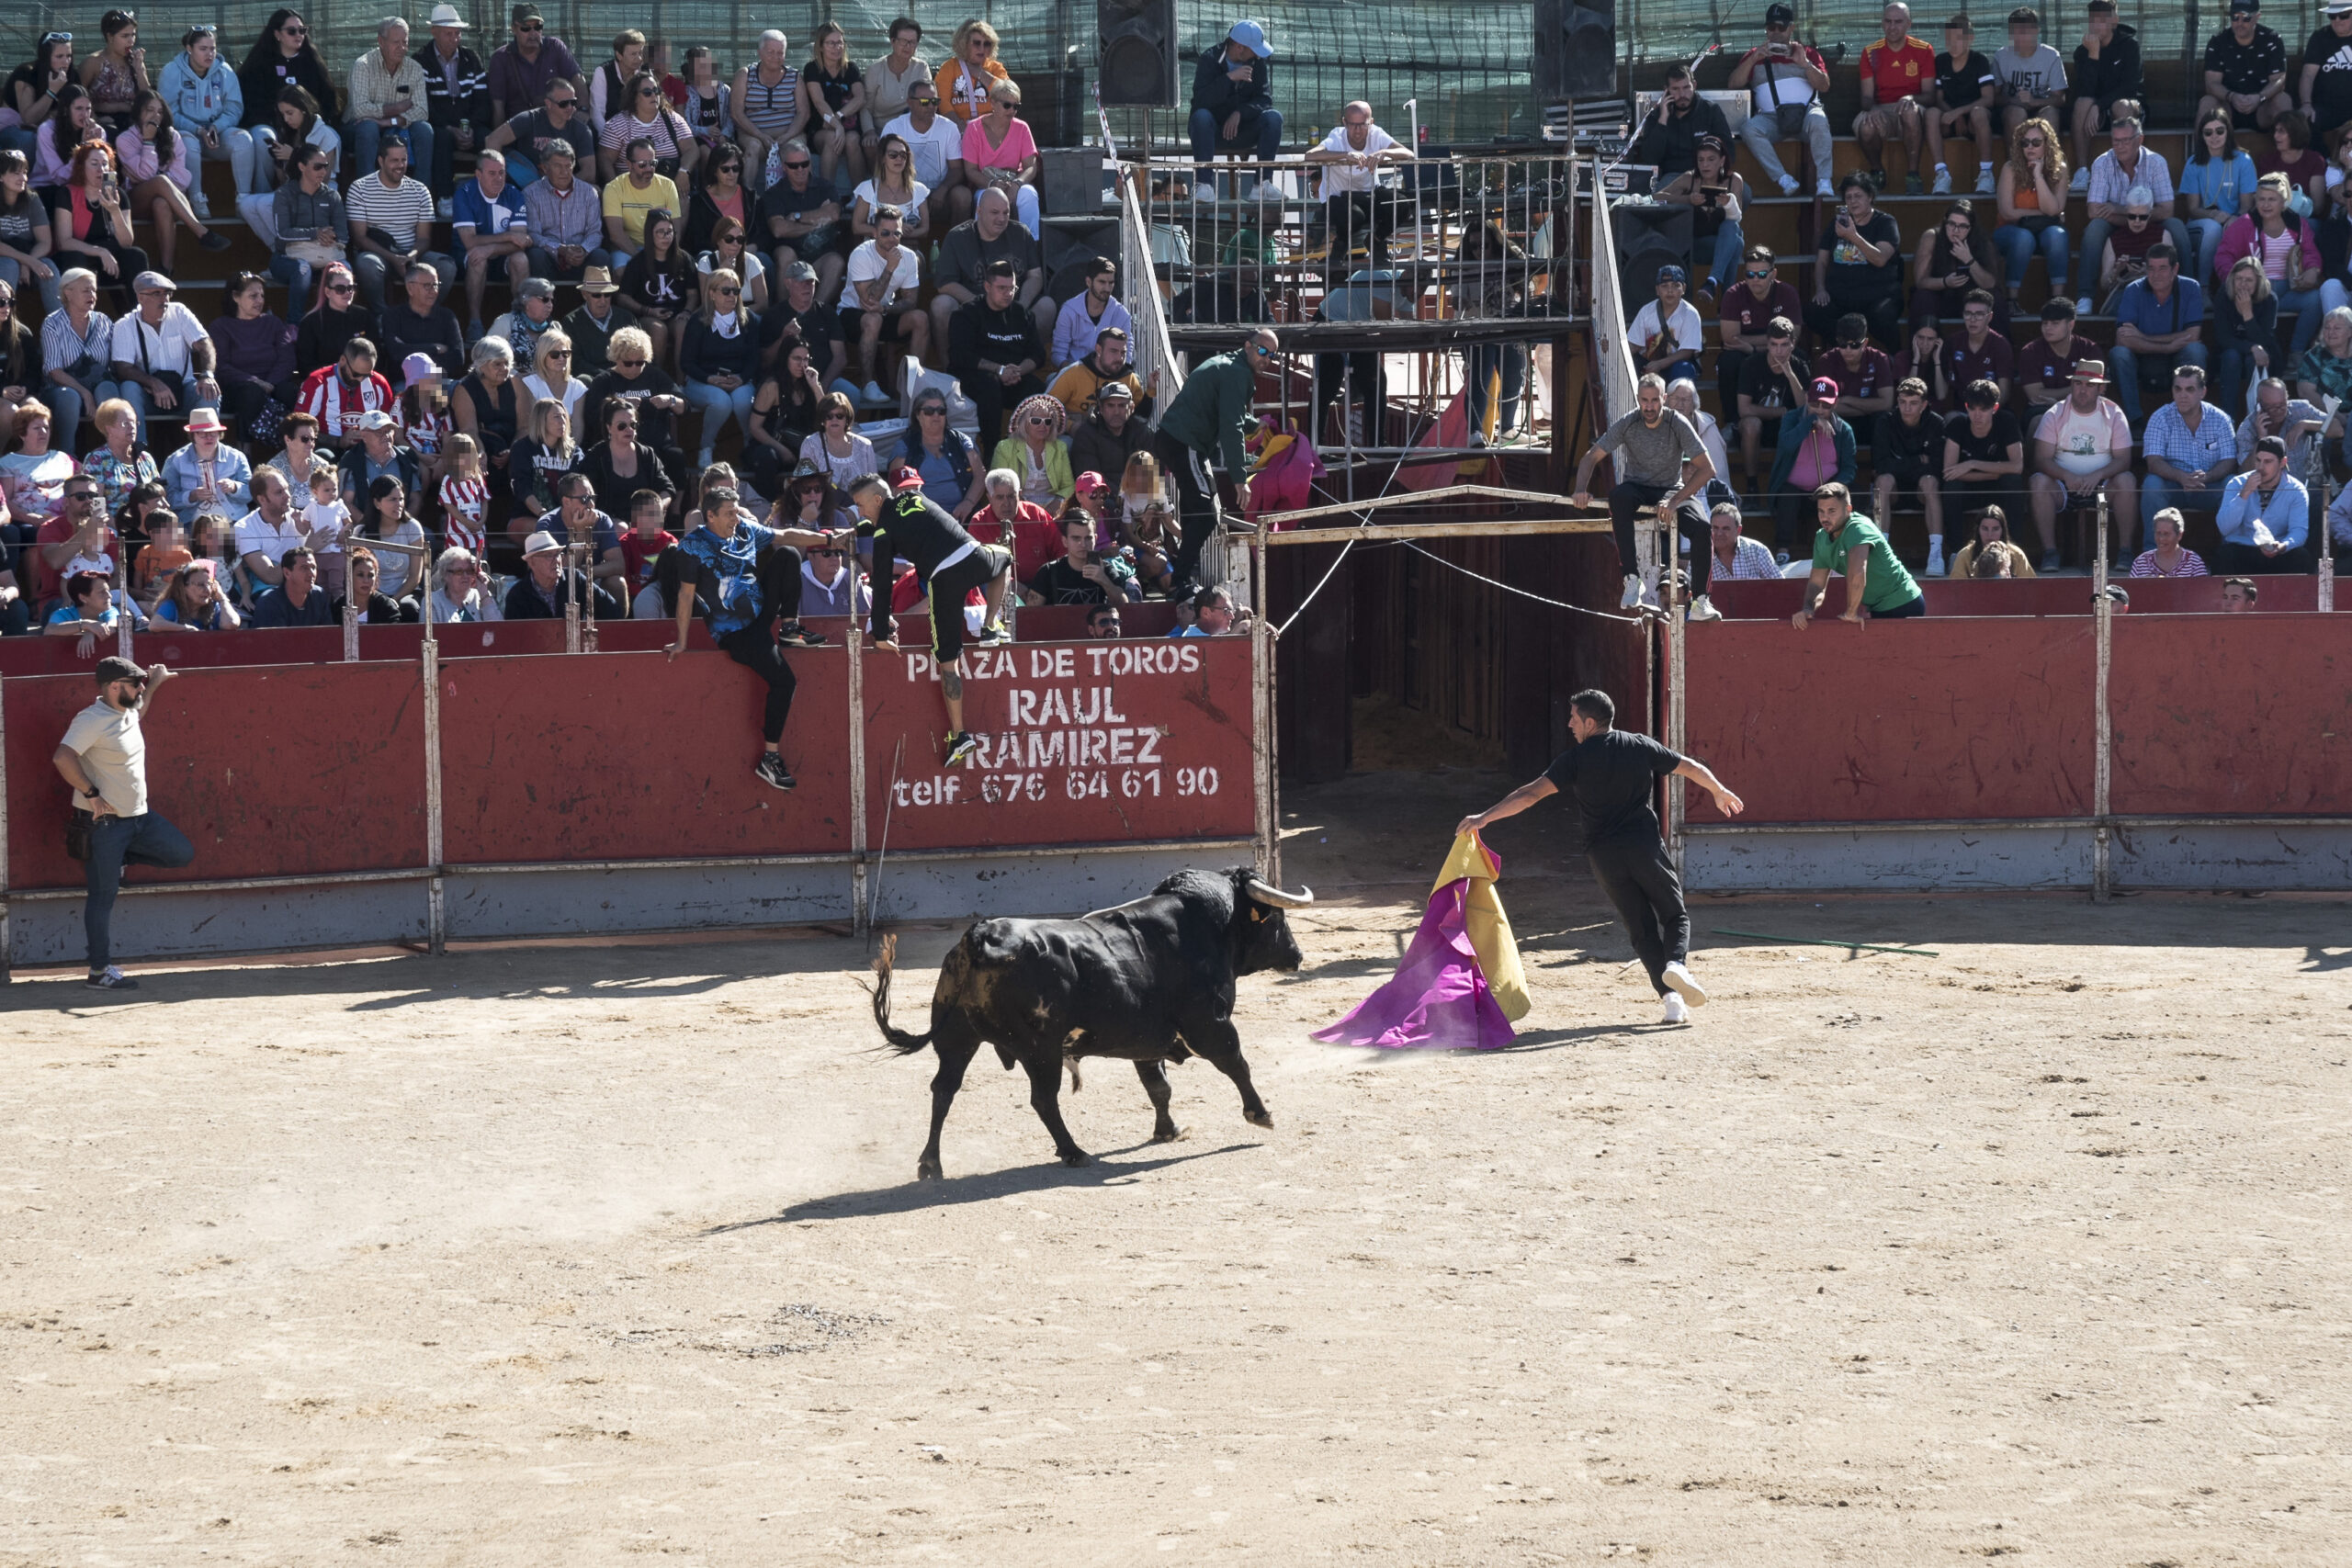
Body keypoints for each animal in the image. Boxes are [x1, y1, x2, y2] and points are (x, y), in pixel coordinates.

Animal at [865, 869, 1317, 1175]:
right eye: (1277, 919)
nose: (1297, 956)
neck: (1208, 928)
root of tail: (980, 937)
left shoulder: (1145, 1039)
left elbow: (1158, 1087)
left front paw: (1168, 1130)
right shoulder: (1212, 1025)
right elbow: (1237, 1064)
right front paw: (1261, 1115)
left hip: (957, 1039)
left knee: (944, 1089)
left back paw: (930, 1164)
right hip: (1041, 1050)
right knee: (1043, 1099)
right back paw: (1074, 1151)